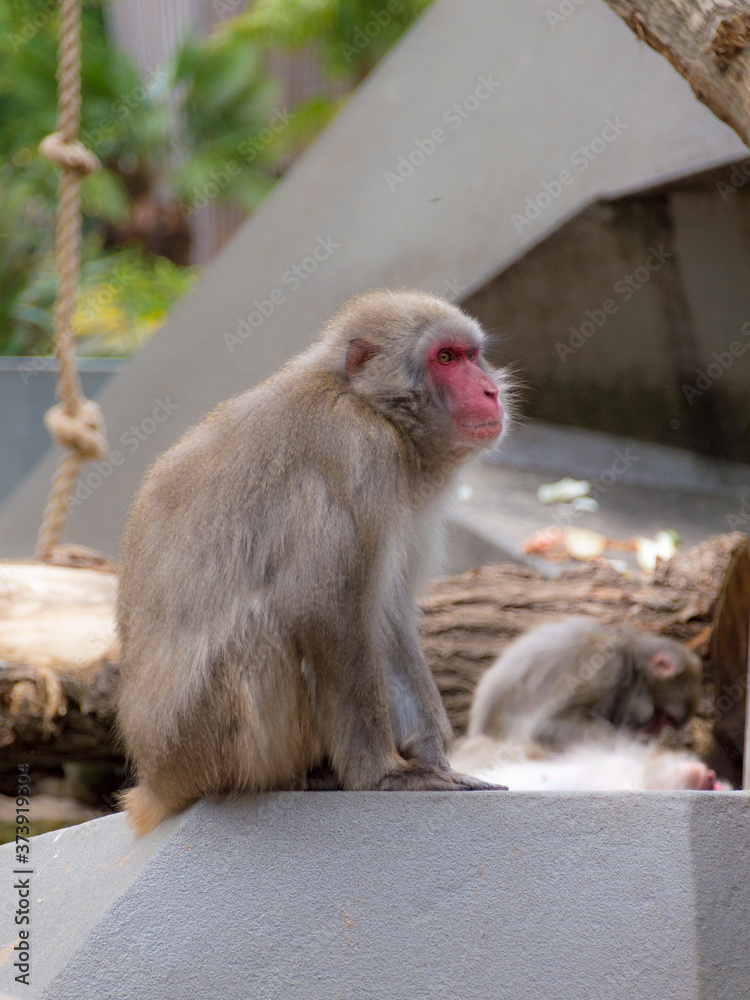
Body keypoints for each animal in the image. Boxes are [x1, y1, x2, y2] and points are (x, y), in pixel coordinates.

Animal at [117, 290, 516, 836]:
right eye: (446, 358)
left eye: (472, 355)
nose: (490, 390)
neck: (371, 406)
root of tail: (156, 781)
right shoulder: (361, 453)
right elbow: (326, 609)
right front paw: (381, 775)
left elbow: (387, 614)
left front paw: (434, 758)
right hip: (205, 742)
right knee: (267, 628)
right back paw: (297, 777)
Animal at [468, 616, 708, 752]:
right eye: (662, 716)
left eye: (666, 721)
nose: (655, 731)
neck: (629, 661)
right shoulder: (605, 668)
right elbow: (547, 727)